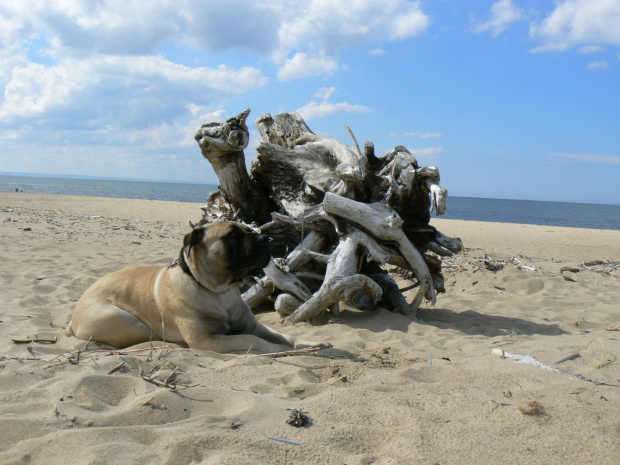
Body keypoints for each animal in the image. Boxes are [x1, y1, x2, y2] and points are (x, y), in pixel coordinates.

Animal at [66, 221, 332, 352]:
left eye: (250, 230)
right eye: (233, 235)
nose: (266, 238)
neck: (218, 291)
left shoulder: (254, 326)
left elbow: (285, 336)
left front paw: (309, 344)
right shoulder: (208, 340)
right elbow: (255, 341)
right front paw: (276, 349)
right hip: (131, 323)